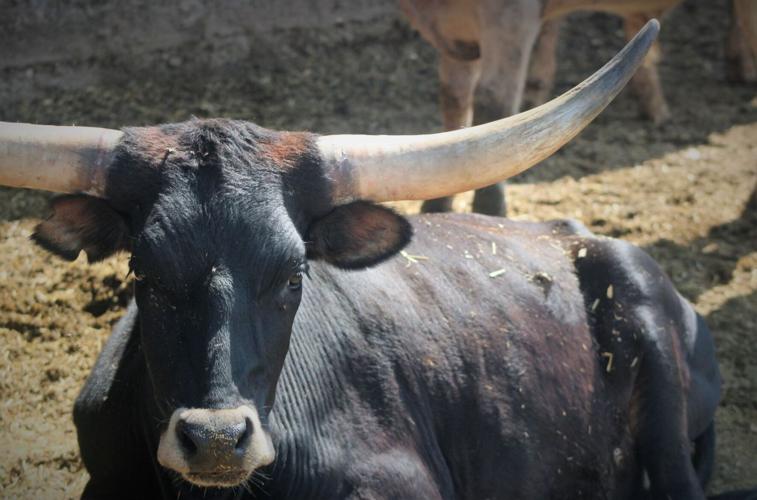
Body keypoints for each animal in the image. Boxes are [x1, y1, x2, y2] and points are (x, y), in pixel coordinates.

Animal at [400, 0, 757, 216]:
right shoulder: (455, 39)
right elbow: (454, 103)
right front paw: (435, 208)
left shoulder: (511, 17)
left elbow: (494, 103)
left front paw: (490, 211)